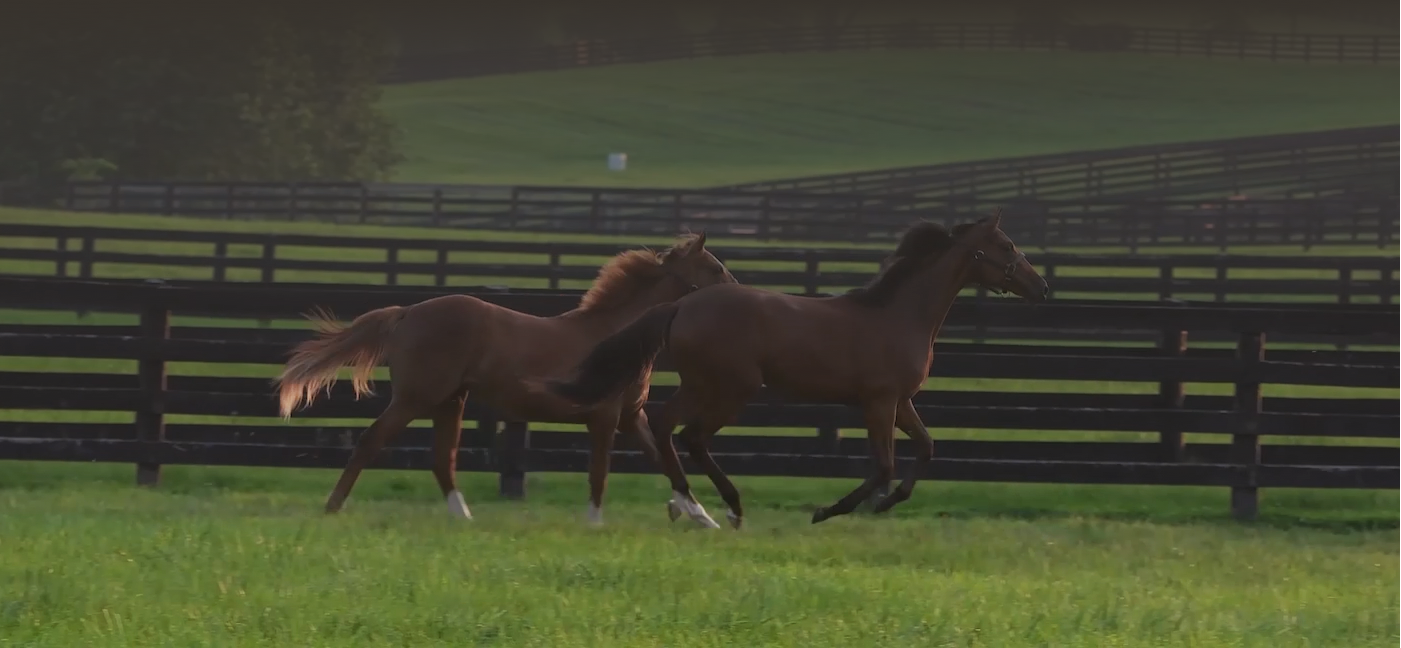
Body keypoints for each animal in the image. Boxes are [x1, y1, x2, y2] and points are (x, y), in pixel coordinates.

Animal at [271, 233, 734, 526]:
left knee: (442, 459)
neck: (616, 335)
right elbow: (600, 472)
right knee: (372, 440)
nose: (738, 291)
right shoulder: (603, 417)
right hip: (416, 397)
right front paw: (595, 523)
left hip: (451, 401)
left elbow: (665, 461)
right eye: (714, 267)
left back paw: (464, 518)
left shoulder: (630, 417)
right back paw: (333, 507)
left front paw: (702, 517)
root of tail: (406, 312)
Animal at [546, 215, 1053, 529]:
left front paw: (889, 503)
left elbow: (926, 447)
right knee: (692, 435)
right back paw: (730, 508)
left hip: (701, 384)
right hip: (733, 387)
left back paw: (695, 506)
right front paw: (826, 512)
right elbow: (884, 464)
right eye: (1006, 245)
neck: (898, 315)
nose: (1042, 287)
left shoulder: (901, 401)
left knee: (666, 425)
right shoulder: (878, 402)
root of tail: (680, 305)